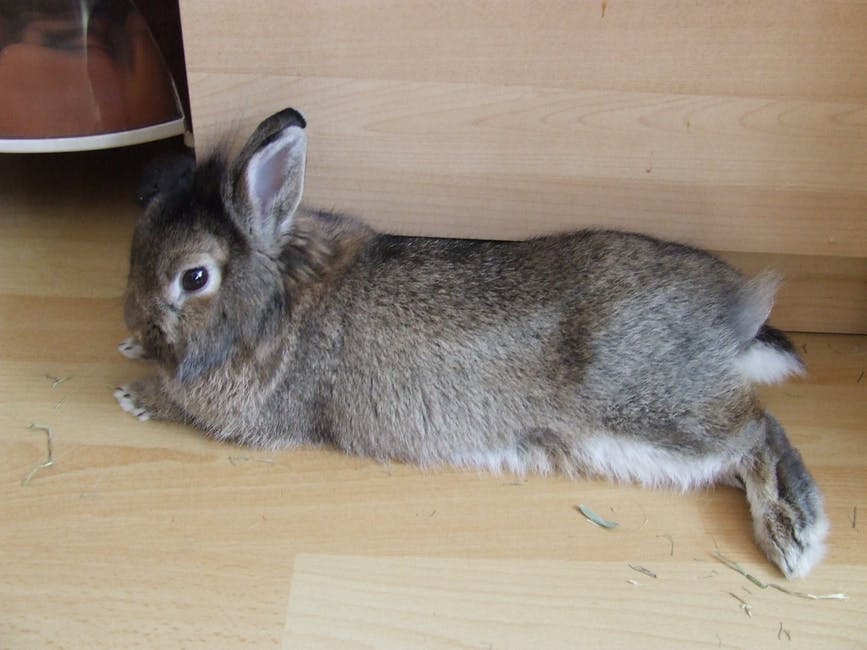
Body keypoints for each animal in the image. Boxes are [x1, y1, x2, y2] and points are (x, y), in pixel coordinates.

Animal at [115, 107, 828, 579]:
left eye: (194, 277)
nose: (136, 321)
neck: (274, 295)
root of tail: (733, 316)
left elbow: (182, 404)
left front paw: (134, 394)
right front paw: (132, 357)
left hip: (651, 409)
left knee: (757, 431)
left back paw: (794, 537)